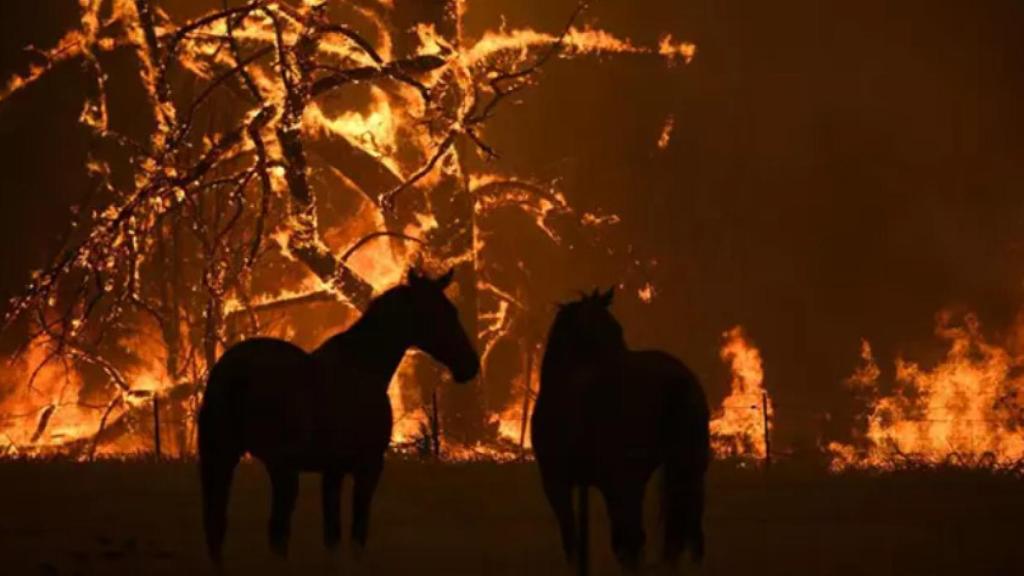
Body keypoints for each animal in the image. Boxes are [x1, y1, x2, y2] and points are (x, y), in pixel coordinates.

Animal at [199, 266, 479, 561]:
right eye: (439, 313)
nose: (470, 365)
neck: (363, 366)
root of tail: (235, 372)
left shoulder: (333, 471)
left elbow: (332, 536)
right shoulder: (368, 467)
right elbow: (357, 534)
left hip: (224, 457)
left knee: (218, 527)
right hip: (281, 467)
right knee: (276, 531)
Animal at [532, 286, 708, 569]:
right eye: (615, 328)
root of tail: (679, 378)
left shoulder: (557, 483)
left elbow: (574, 543)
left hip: (626, 479)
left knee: (633, 540)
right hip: (689, 471)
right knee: (689, 536)